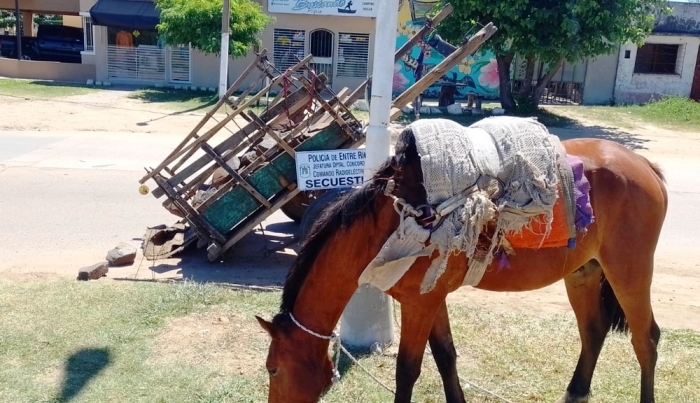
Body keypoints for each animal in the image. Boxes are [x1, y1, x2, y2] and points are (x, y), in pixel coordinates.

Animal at [258, 124, 668, 402]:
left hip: (629, 272)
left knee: (646, 339)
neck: (389, 219)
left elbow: (407, 370)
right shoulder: (430, 299)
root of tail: (644, 164)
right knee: (594, 331)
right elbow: (446, 358)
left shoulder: (419, 305)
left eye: (273, 369)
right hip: (583, 273)